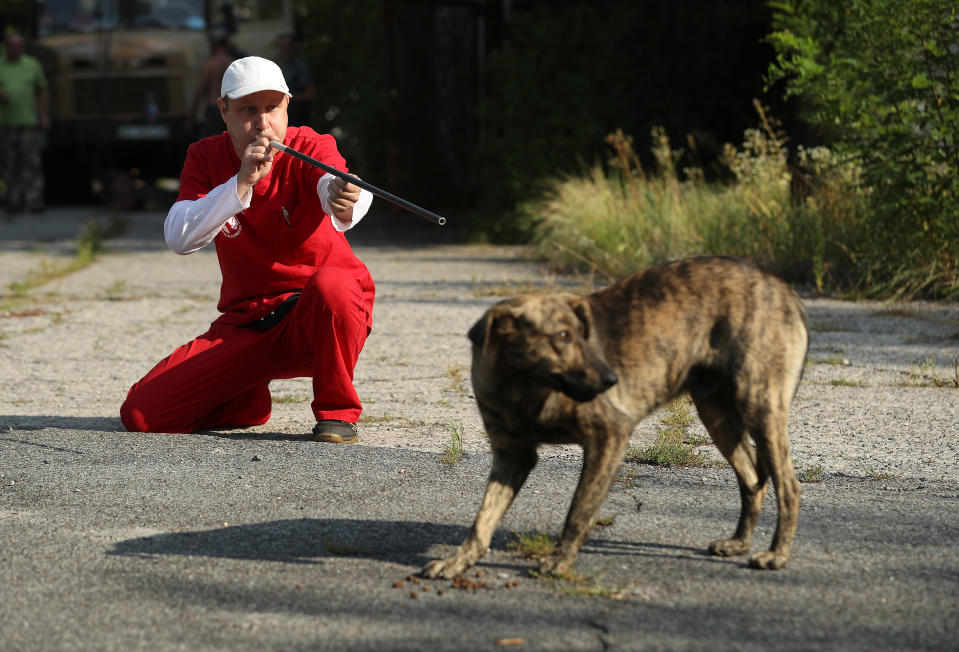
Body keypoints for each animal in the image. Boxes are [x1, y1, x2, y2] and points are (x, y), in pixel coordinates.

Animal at [424, 258, 808, 580]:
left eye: (582, 335)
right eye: (562, 336)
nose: (612, 380)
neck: (523, 385)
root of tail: (784, 289)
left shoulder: (608, 436)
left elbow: (578, 511)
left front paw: (560, 561)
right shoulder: (512, 457)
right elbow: (482, 520)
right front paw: (459, 561)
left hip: (760, 405)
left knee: (788, 485)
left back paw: (776, 555)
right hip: (718, 416)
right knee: (753, 480)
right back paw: (739, 543)